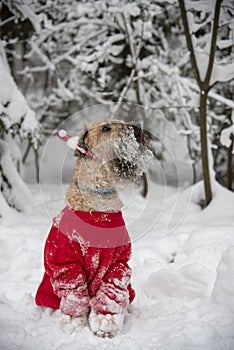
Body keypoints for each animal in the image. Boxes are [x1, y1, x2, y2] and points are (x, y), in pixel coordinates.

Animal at [34, 119, 152, 336]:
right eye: (106, 128)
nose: (138, 128)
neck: (98, 206)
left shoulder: (118, 262)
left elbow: (111, 290)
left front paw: (106, 319)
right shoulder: (65, 262)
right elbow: (74, 291)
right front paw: (72, 320)